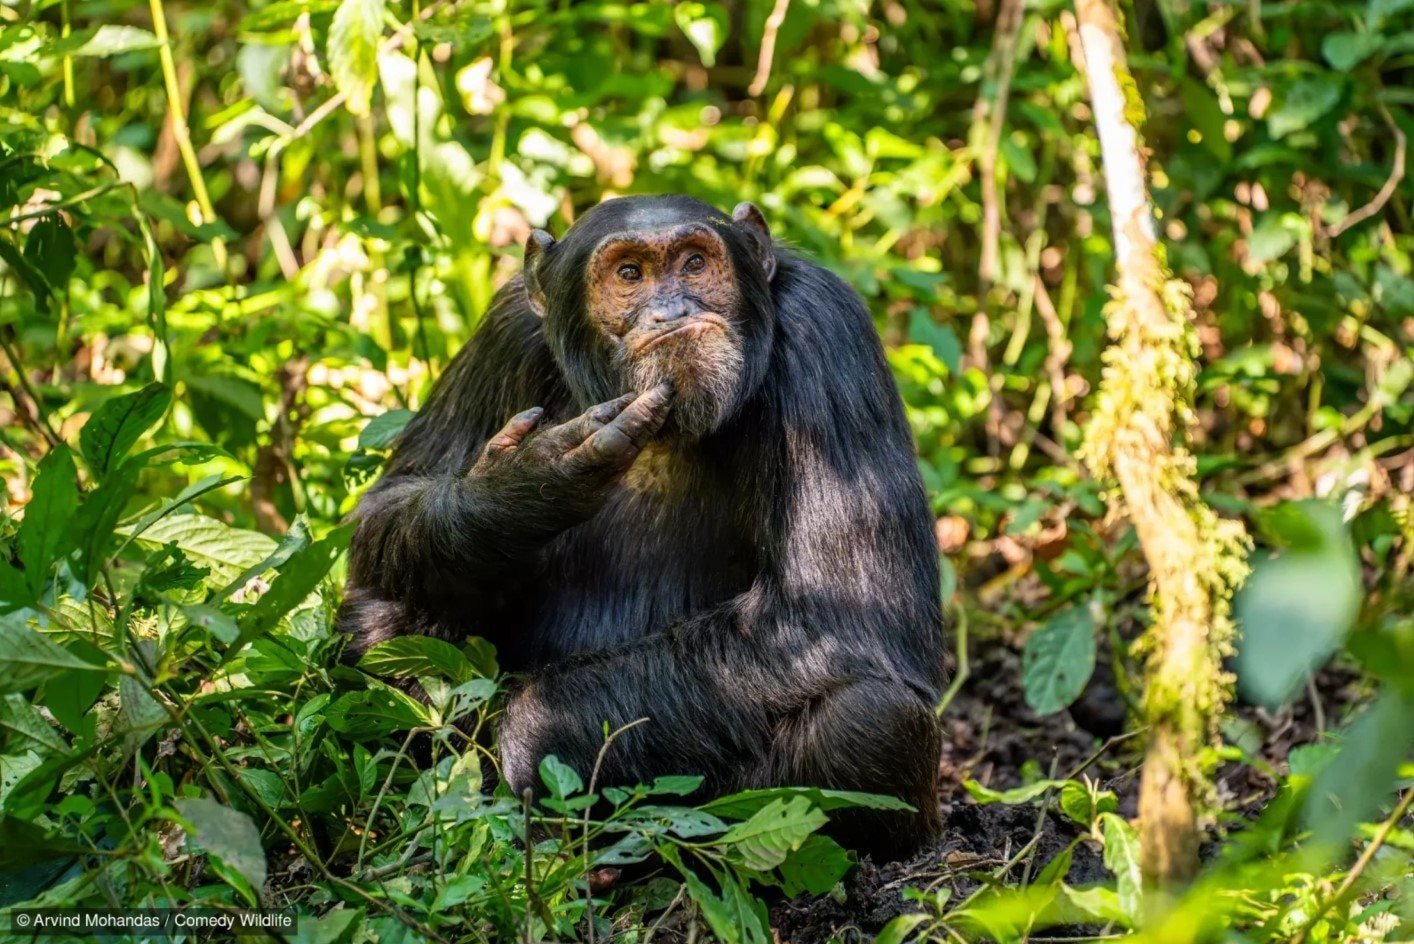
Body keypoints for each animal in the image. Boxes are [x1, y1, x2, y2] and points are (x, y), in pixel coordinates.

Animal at [335, 193, 944, 853]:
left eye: (695, 262)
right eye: (629, 274)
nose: (671, 309)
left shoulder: (826, 331)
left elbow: (838, 609)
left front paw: (533, 733)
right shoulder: (504, 331)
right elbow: (391, 498)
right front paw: (519, 487)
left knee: (871, 718)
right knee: (382, 616)